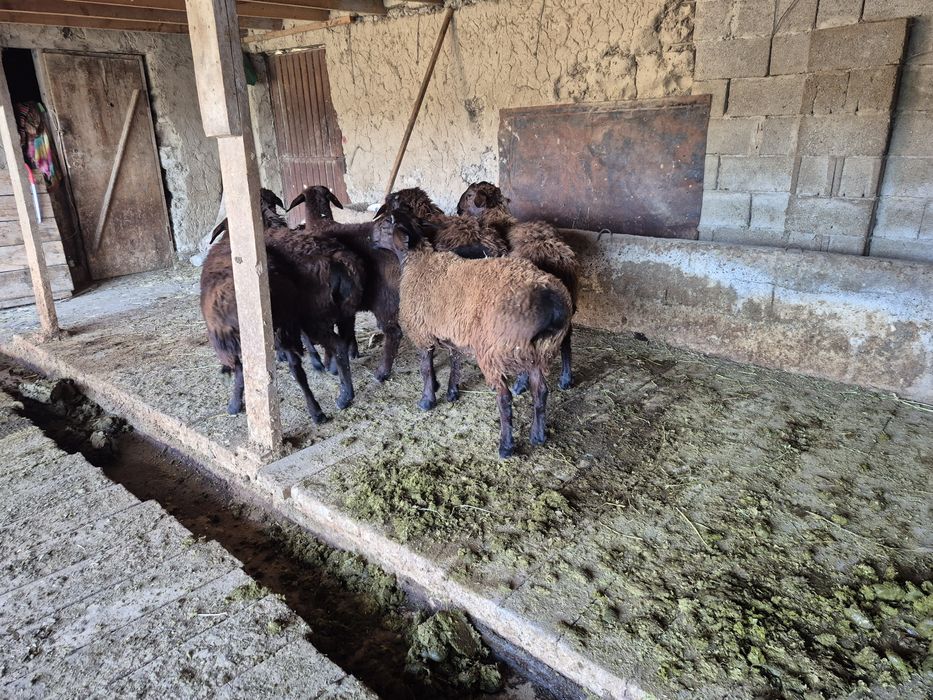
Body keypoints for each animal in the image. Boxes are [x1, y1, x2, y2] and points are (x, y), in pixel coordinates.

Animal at [372, 211, 572, 459]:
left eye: (383, 225)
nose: (370, 238)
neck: (418, 262)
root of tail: (551, 302)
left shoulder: (422, 332)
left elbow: (426, 370)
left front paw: (427, 400)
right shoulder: (454, 333)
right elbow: (455, 363)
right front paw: (451, 391)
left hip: (495, 351)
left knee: (504, 398)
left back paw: (506, 446)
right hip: (535, 353)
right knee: (541, 392)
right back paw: (538, 435)